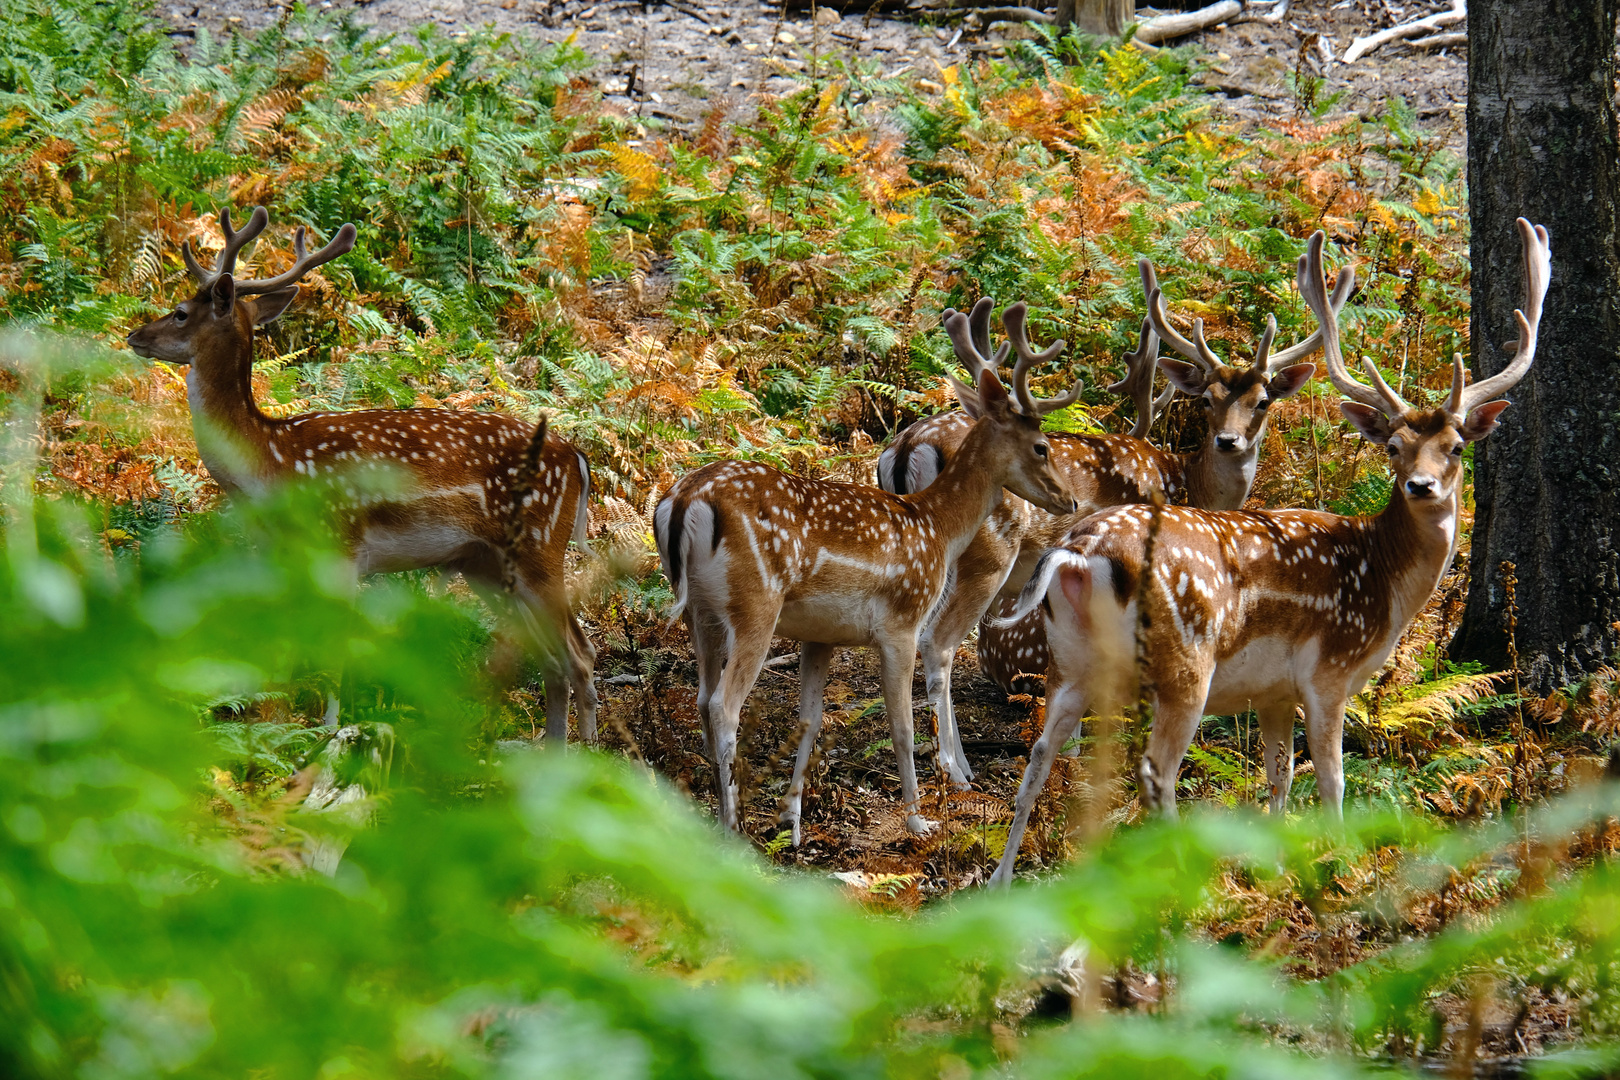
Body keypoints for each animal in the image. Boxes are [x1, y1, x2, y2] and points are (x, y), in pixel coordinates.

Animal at [123, 205, 599, 738]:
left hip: (540, 546)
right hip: (486, 565)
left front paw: (326, 735)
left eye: (181, 311)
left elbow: (335, 653)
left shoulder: (342, 544)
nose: (134, 336)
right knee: (552, 663)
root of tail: (577, 459)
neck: (271, 463)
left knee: (581, 655)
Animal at [651, 331, 1082, 841]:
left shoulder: (820, 634)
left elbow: (810, 718)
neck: (937, 527)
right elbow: (903, 726)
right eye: (1042, 446)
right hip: (755, 604)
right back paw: (732, 829)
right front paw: (919, 820)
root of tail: (681, 503)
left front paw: (792, 821)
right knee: (723, 705)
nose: (1070, 499)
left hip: (700, 611)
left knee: (701, 699)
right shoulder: (902, 622)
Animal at [984, 221, 1555, 887]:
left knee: (1039, 757)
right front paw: (1345, 868)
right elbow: (1332, 781)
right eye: (1392, 446)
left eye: (1457, 446)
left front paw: (1282, 868)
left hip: (1070, 661)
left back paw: (1001, 882)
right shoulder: (1328, 671)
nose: (1421, 486)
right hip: (1185, 660)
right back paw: (1194, 885)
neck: (1385, 583)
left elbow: (1278, 780)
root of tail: (1082, 553)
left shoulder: (1275, 690)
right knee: (1156, 774)